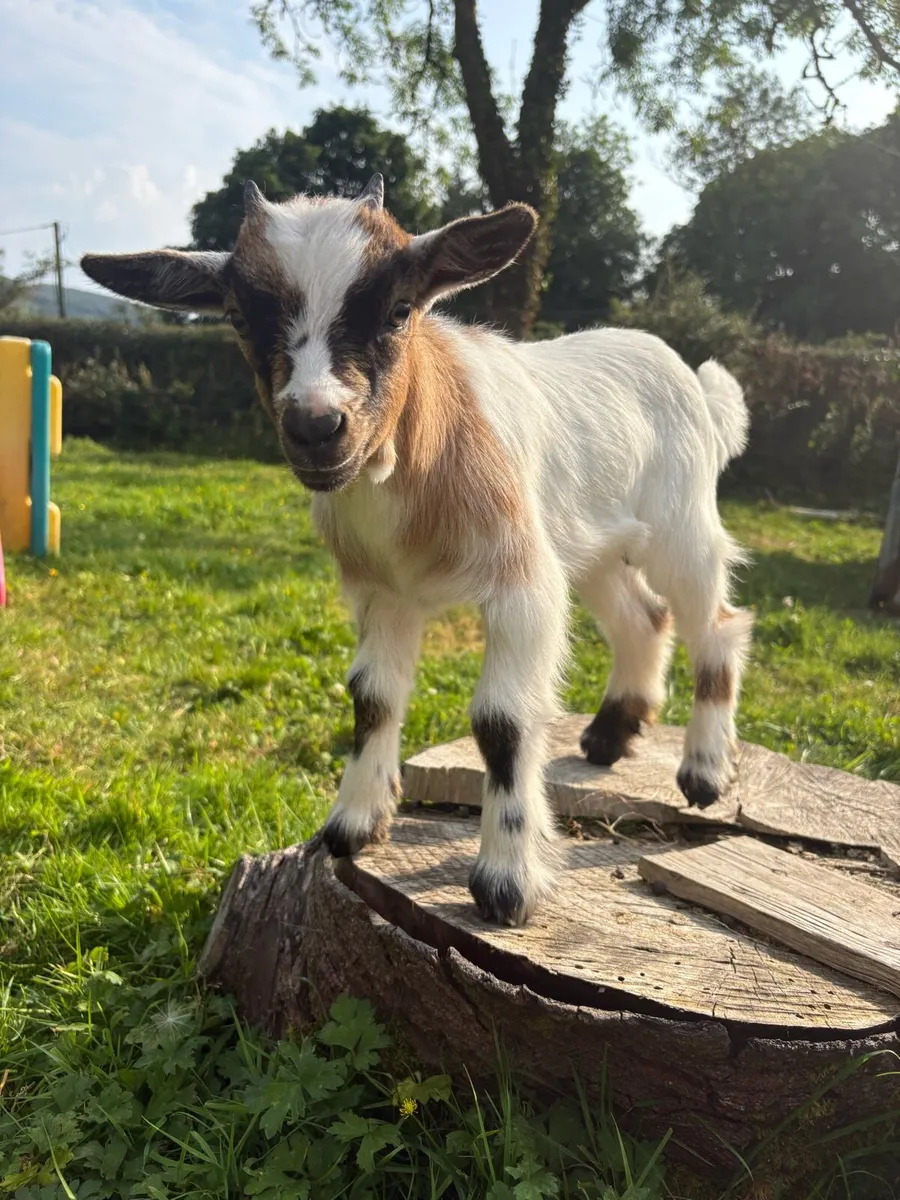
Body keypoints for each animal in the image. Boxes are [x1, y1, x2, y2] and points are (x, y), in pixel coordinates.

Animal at [81, 174, 752, 927]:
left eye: (400, 309)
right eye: (238, 317)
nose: (317, 426)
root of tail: (694, 380)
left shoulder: (521, 582)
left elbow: (502, 721)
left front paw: (506, 881)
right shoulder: (386, 592)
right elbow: (371, 698)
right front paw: (351, 826)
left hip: (680, 524)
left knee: (716, 624)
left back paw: (703, 772)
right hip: (594, 544)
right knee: (643, 618)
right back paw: (610, 737)